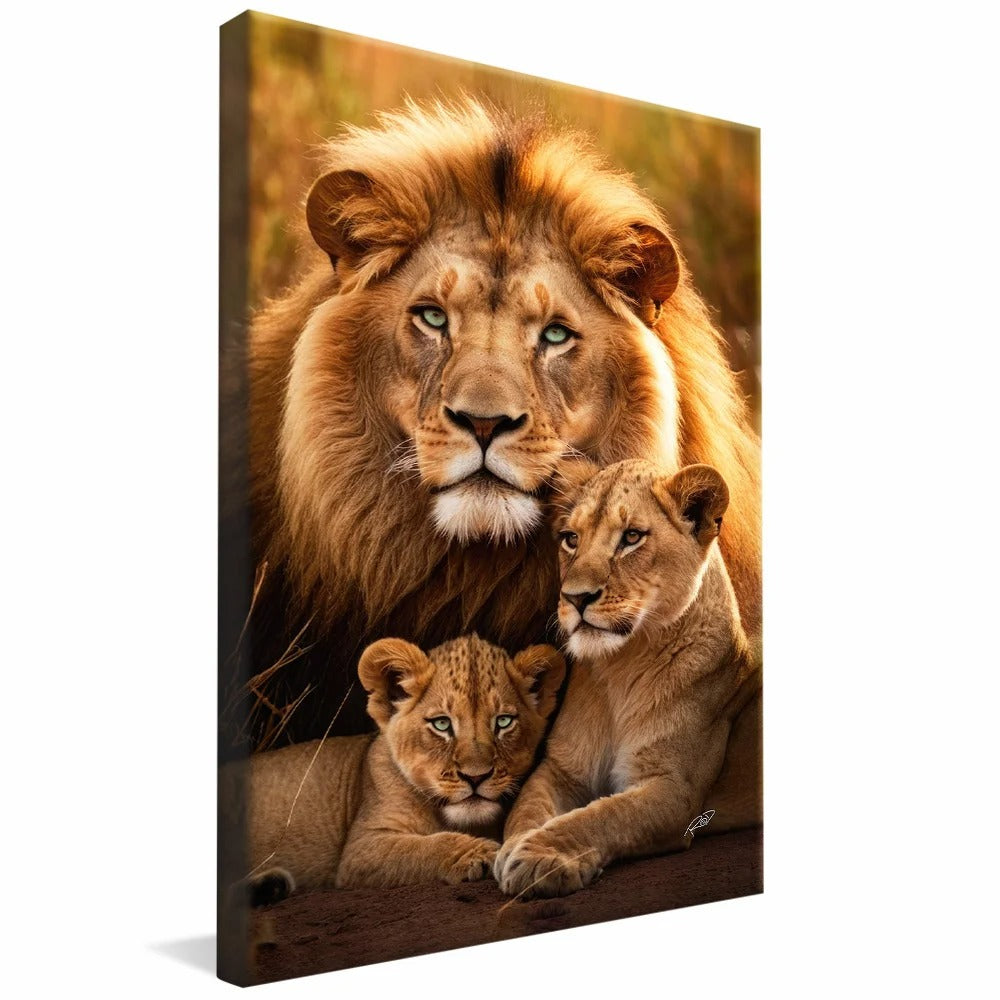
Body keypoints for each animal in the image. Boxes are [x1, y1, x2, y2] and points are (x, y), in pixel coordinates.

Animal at [225, 634, 565, 898]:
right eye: (442, 724)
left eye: (503, 722)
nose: (475, 777)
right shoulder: (361, 850)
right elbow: (421, 848)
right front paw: (480, 852)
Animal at [494, 459, 761, 898]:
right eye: (570, 539)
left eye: (632, 537)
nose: (575, 598)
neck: (620, 668)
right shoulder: (560, 769)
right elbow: (525, 811)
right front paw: (517, 845)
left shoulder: (674, 791)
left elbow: (604, 815)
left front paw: (539, 855)